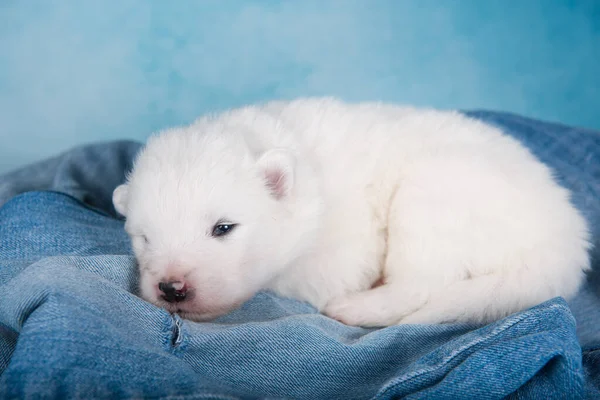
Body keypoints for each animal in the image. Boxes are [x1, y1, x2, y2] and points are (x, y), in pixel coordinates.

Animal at [112, 98, 592, 326]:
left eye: (223, 228)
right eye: (145, 238)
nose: (172, 288)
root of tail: (566, 243)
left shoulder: (343, 249)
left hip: (433, 192)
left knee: (421, 283)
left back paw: (356, 309)